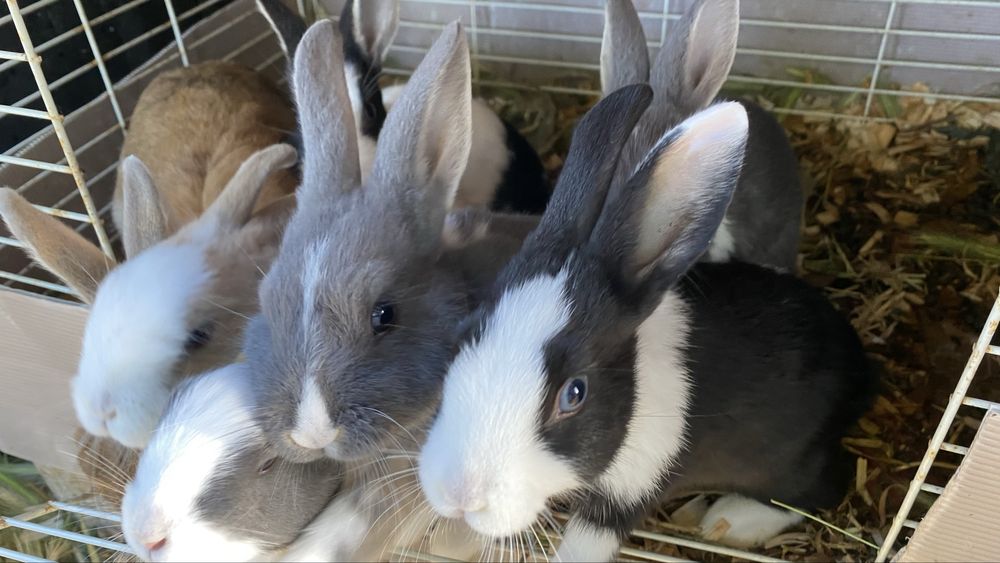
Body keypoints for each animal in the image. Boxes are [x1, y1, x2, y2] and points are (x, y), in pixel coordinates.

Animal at [417, 93, 877, 559]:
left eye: (574, 394)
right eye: (462, 340)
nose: (459, 495)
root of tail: (861, 370)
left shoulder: (627, 492)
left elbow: (585, 545)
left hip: (785, 464)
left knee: (821, 492)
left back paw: (731, 522)